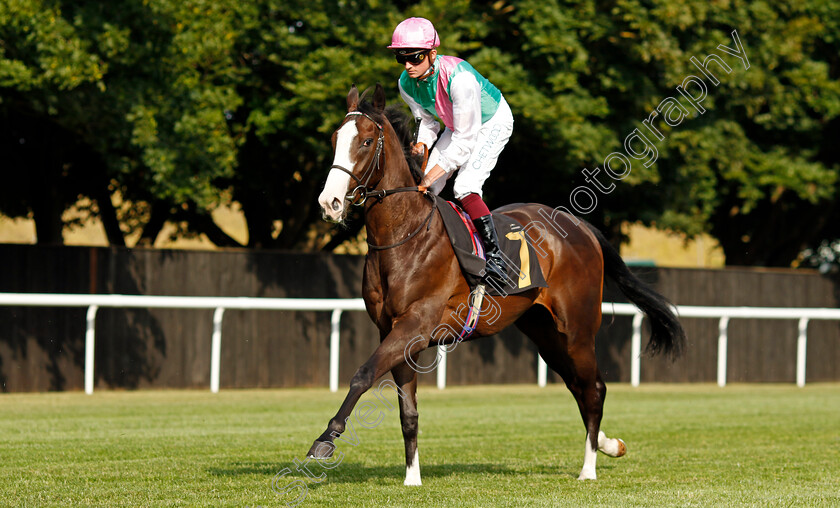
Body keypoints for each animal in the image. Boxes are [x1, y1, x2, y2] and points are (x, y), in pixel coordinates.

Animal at [308, 83, 684, 484]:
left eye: (365, 142)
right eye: (335, 139)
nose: (329, 203)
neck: (404, 236)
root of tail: (581, 226)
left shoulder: (414, 326)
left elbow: (362, 375)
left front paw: (326, 438)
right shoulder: (393, 332)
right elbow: (407, 412)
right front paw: (412, 477)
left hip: (578, 330)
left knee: (593, 388)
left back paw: (589, 467)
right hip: (544, 332)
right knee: (579, 387)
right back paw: (609, 445)